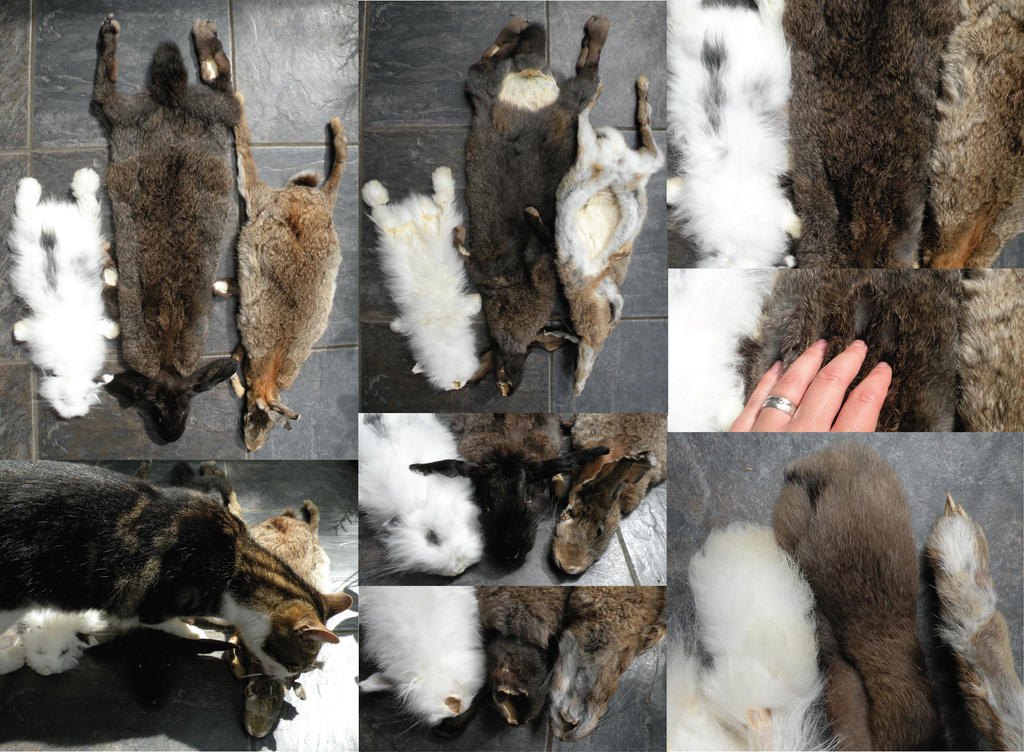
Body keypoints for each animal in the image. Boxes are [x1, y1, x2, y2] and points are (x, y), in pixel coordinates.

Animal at [7, 169, 119, 418]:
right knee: (28, 205)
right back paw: (36, 184)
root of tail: (53, 217)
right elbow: (22, 332)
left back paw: (82, 178)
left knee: (85, 201)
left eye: (85, 398)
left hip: (81, 225)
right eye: (62, 399)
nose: (71, 415)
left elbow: (109, 331)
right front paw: (18, 330)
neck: (71, 363)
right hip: (28, 230)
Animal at [92, 15, 240, 442]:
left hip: (148, 114)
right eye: (154, 407)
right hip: (193, 113)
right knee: (225, 85)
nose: (171, 438)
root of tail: (170, 97)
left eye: (188, 404)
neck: (168, 361)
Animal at [233, 92, 346, 451]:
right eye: (247, 418)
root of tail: (313, 195)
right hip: (260, 202)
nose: (251, 447)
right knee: (246, 161)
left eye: (269, 430)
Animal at [362, 167, 482, 391]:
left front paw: (478, 299)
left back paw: (440, 174)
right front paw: (394, 326)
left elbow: (472, 305)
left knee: (442, 199)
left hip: (443, 224)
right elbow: (400, 326)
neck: (441, 328)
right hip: (390, 230)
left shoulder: (458, 309)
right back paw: (372, 189)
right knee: (380, 209)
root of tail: (409, 216)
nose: (459, 386)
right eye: (455, 383)